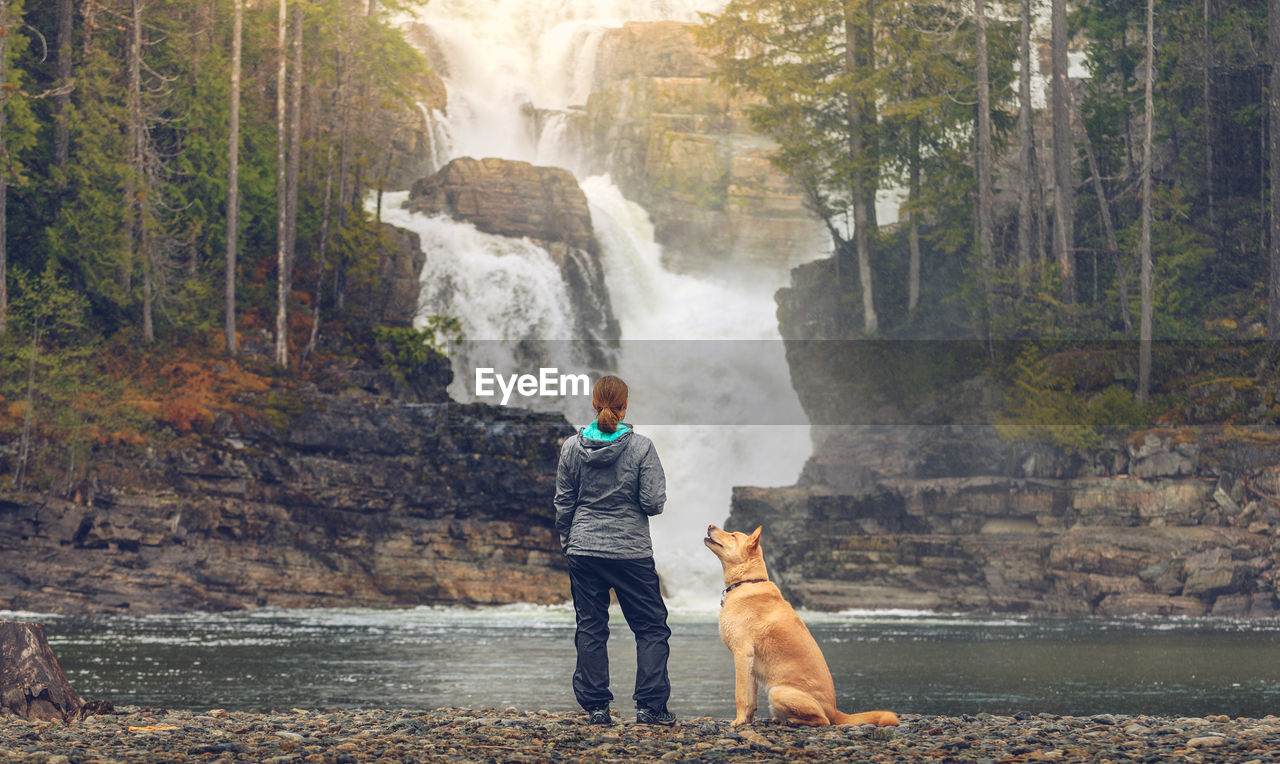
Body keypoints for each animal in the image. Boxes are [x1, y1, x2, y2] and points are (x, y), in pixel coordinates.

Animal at [701, 524, 901, 726]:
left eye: (733, 535)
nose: (710, 525)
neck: (746, 582)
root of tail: (835, 711)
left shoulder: (742, 654)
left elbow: (740, 695)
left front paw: (738, 721)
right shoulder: (750, 664)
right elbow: (751, 700)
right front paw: (747, 721)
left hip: (778, 691)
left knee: (822, 720)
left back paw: (792, 720)